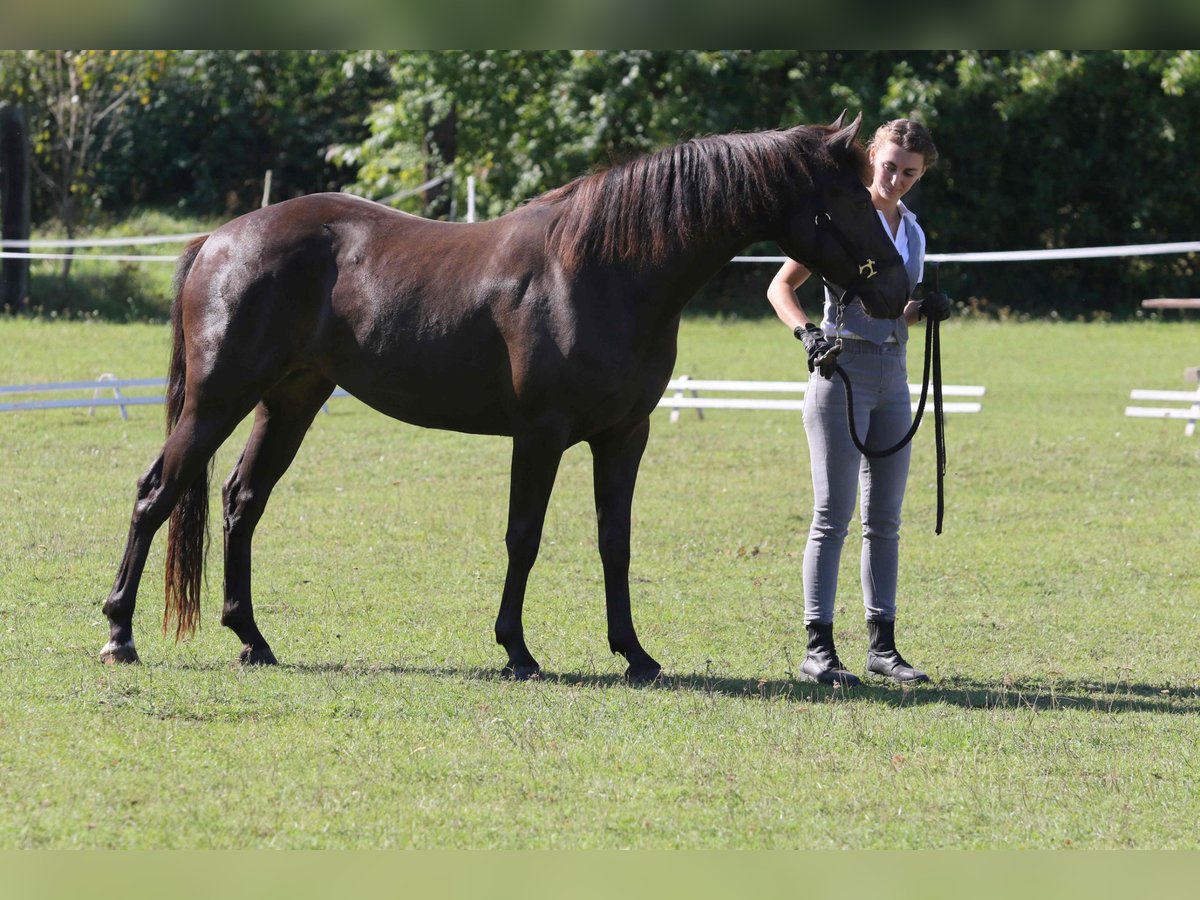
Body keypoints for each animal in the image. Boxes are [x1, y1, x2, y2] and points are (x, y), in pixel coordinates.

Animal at [98, 112, 902, 681]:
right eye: (848, 198)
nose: (899, 288)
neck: (603, 269)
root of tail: (219, 240)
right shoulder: (540, 434)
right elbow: (525, 536)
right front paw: (516, 649)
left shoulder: (624, 435)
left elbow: (615, 541)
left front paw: (635, 654)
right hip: (217, 400)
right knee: (155, 492)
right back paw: (118, 633)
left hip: (290, 400)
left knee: (242, 500)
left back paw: (252, 639)